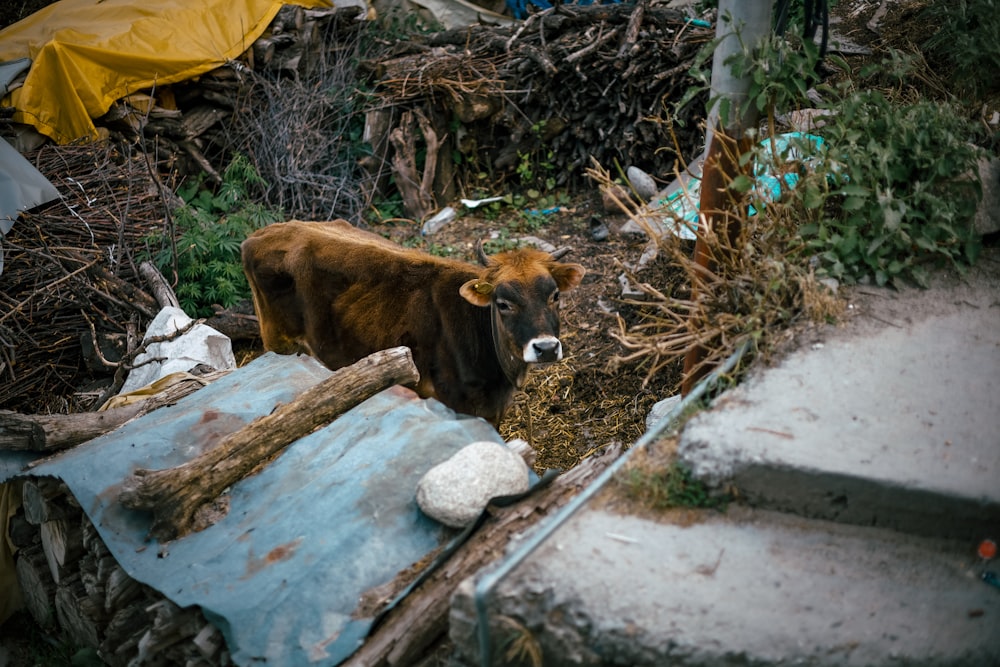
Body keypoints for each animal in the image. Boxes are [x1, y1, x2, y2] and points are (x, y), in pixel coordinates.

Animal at [242, 222, 584, 426]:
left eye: (555, 295)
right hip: (279, 343)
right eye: (502, 304)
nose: (546, 348)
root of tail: (263, 232)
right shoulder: (457, 405)